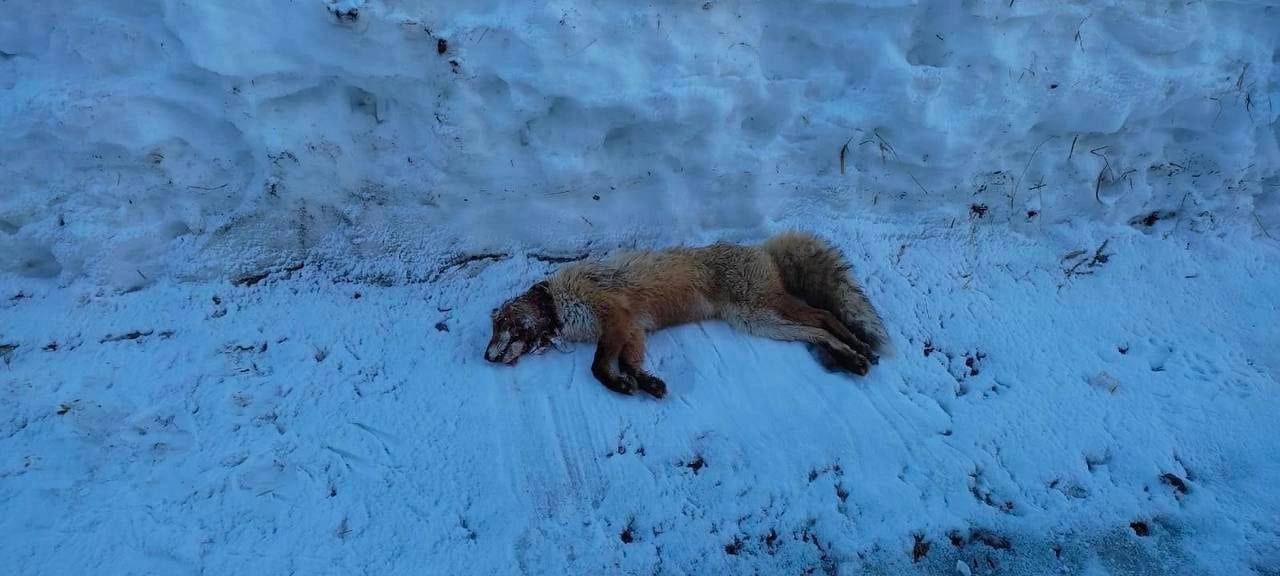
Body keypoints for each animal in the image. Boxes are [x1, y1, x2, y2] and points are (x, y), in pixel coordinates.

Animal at [483, 229, 896, 396]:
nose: (485, 357)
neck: (559, 304)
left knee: (825, 316)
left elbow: (598, 366)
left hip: (763, 307)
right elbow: (630, 362)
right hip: (760, 322)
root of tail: (761, 247)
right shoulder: (633, 329)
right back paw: (848, 357)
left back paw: (856, 348)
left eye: (500, 325)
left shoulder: (614, 315)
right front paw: (646, 384)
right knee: (815, 329)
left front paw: (621, 386)